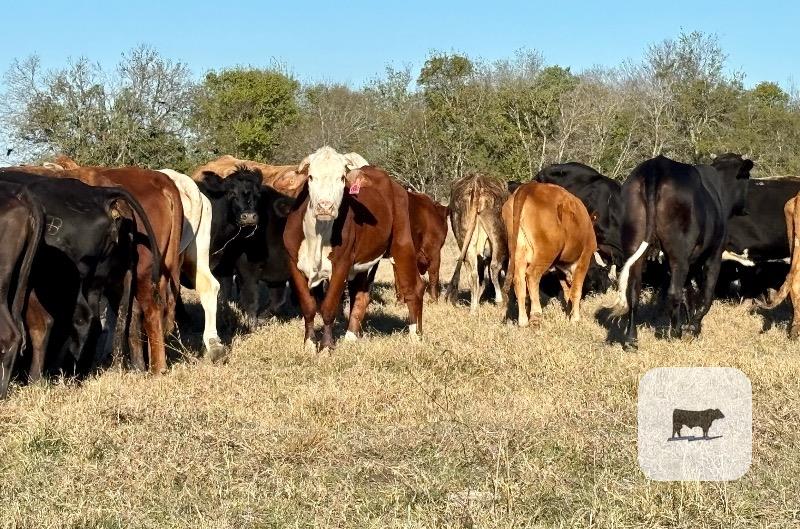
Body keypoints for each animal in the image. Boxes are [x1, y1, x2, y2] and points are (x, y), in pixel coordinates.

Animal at [283, 146, 424, 351]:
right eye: (310, 177)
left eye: (342, 177)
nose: (325, 206)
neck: (318, 236)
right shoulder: (294, 263)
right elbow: (308, 307)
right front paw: (309, 344)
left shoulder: (341, 265)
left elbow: (328, 307)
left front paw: (326, 347)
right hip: (366, 262)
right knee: (361, 295)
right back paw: (351, 336)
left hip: (402, 244)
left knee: (414, 287)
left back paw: (416, 335)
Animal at [445, 173, 508, 312]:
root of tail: (477, 183)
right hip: (496, 234)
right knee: (494, 266)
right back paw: (499, 300)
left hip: (464, 239)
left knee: (473, 274)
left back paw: (474, 308)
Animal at [502, 182, 597, 326]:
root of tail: (529, 186)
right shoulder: (584, 259)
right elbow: (576, 291)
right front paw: (575, 319)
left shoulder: (560, 268)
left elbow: (567, 291)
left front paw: (568, 315)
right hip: (546, 253)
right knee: (532, 275)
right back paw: (536, 315)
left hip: (518, 251)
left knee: (519, 281)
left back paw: (523, 320)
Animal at [607, 154, 753, 350]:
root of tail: (656, 166)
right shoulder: (713, 255)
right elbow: (705, 295)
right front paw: (693, 326)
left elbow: (688, 293)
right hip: (679, 254)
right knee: (674, 292)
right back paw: (675, 332)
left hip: (635, 245)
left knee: (633, 291)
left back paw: (631, 339)